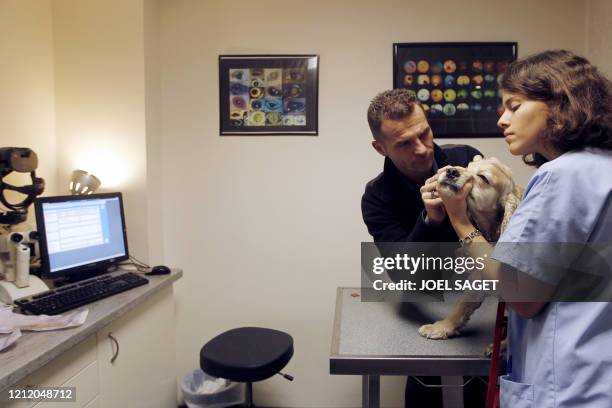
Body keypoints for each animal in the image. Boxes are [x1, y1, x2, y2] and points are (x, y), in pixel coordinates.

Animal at [418, 155, 524, 342]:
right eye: (467, 167)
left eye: (483, 178)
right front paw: (441, 327)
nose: (451, 171)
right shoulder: (481, 276)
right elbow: (462, 305)